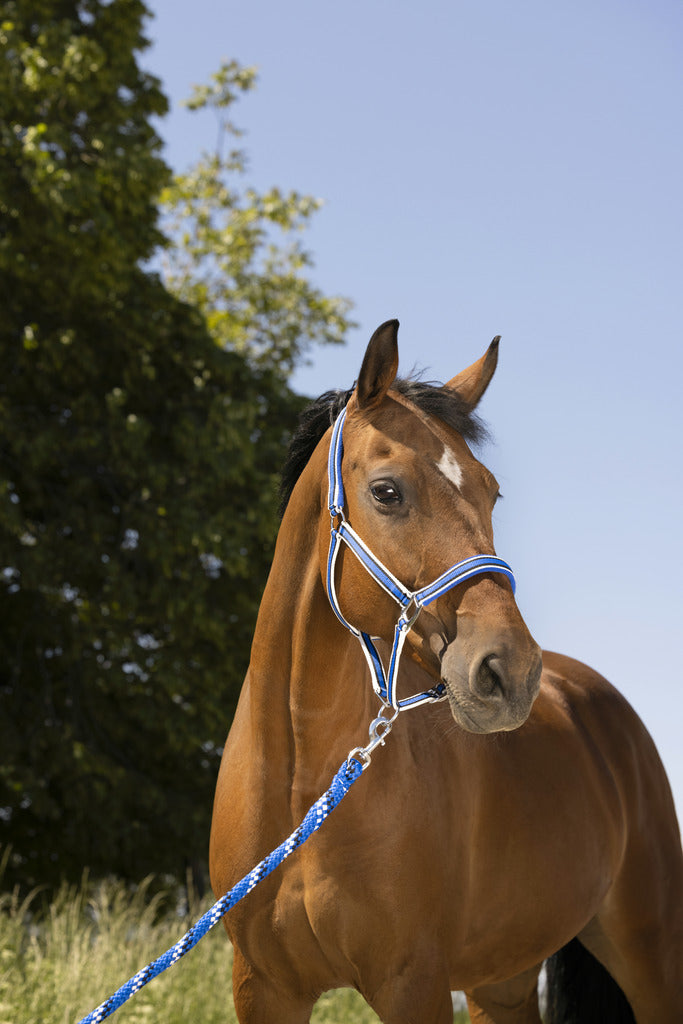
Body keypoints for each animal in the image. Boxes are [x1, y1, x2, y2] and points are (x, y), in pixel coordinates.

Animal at [209, 315, 683, 1019]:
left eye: (493, 492)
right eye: (386, 492)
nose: (510, 672)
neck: (303, 790)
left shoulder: (415, 984)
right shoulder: (262, 987)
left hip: (651, 958)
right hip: (502, 981)